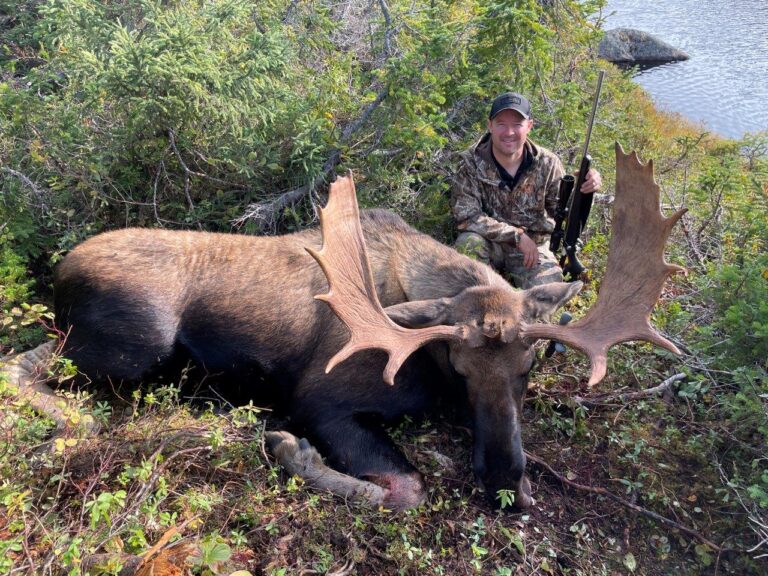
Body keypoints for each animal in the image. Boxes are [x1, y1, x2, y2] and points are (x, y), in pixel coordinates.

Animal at [1, 144, 685, 510]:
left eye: (529, 368)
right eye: (460, 370)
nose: (500, 483)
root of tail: (60, 269)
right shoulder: (320, 399)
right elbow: (404, 488)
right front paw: (289, 448)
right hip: (133, 345)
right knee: (23, 367)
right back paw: (78, 421)